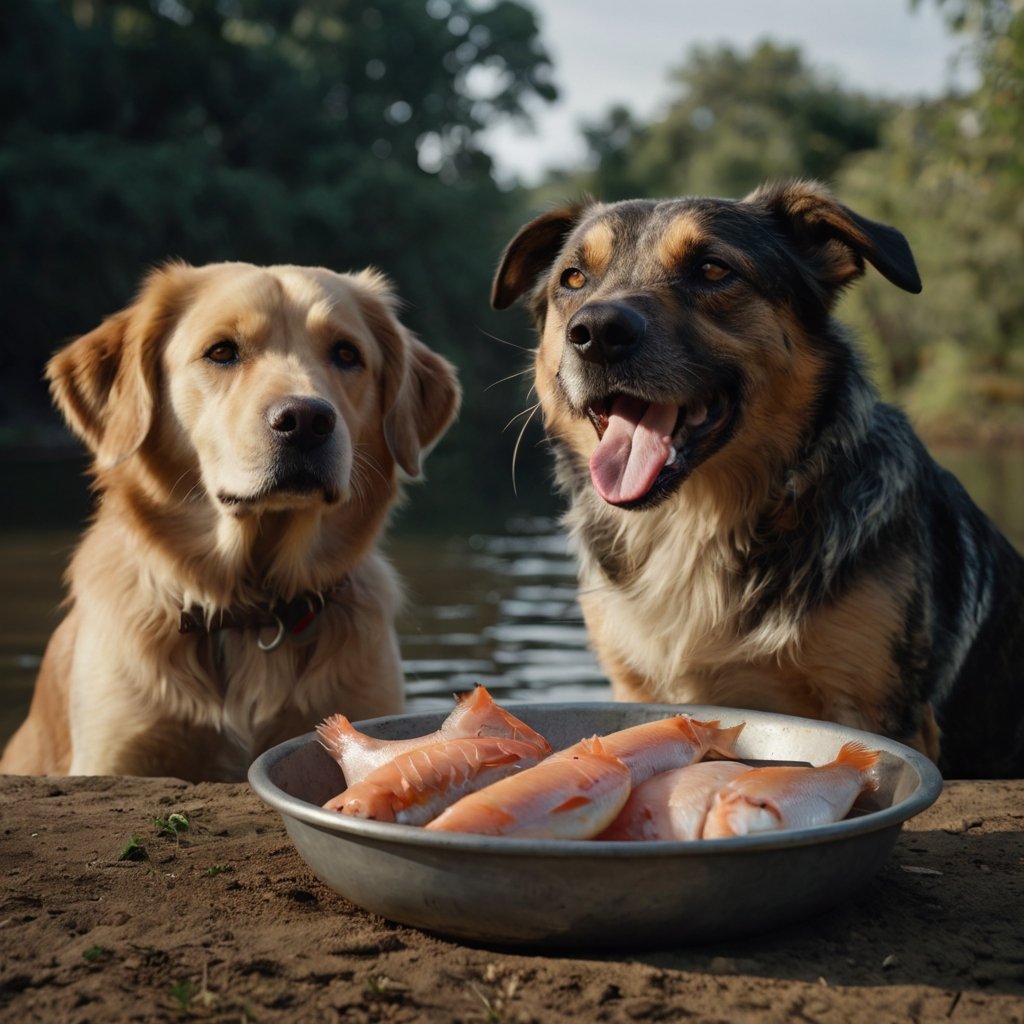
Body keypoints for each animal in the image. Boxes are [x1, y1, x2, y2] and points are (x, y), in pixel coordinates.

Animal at [491, 182, 1019, 774]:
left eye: (712, 269)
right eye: (574, 279)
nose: (596, 332)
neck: (692, 522)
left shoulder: (872, 707)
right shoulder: (633, 688)